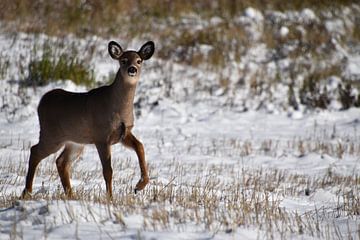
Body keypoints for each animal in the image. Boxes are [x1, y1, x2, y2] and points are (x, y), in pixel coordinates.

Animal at [21, 40, 155, 199]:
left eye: (139, 60)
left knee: (61, 161)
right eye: (123, 60)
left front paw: (140, 185)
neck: (117, 107)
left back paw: (71, 195)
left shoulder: (124, 133)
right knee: (35, 151)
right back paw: (27, 192)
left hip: (75, 142)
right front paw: (110, 198)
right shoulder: (101, 136)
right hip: (51, 135)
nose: (132, 69)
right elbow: (108, 170)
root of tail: (41, 101)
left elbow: (140, 146)